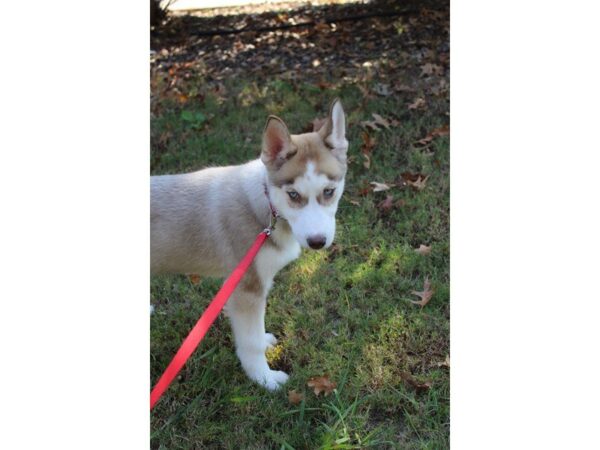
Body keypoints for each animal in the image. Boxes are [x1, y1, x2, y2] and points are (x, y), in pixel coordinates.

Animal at [151, 98, 346, 390]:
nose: (317, 242)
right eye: (293, 195)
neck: (267, 206)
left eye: (329, 192)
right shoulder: (247, 287)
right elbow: (250, 343)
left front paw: (264, 342)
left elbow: (255, 330)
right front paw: (265, 379)